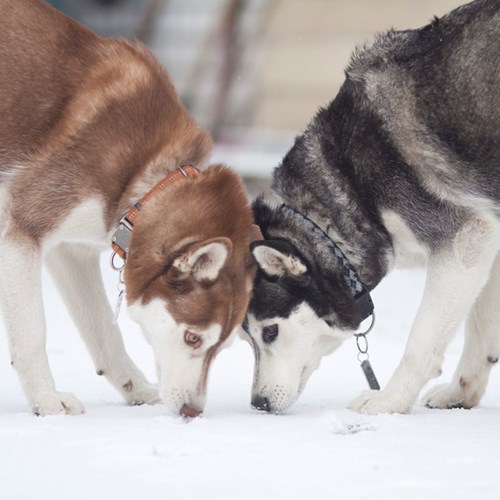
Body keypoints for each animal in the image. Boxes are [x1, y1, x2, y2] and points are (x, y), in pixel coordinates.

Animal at [0, 0, 257, 417]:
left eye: (223, 346)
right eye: (192, 339)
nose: (193, 412)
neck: (147, 179)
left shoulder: (71, 251)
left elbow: (105, 329)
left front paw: (135, 388)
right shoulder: (21, 228)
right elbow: (33, 333)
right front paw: (47, 402)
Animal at [244, 0, 500, 414]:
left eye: (269, 332)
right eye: (244, 337)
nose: (259, 403)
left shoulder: (464, 238)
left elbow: (421, 341)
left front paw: (390, 401)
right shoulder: (489, 235)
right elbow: (482, 330)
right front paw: (461, 393)